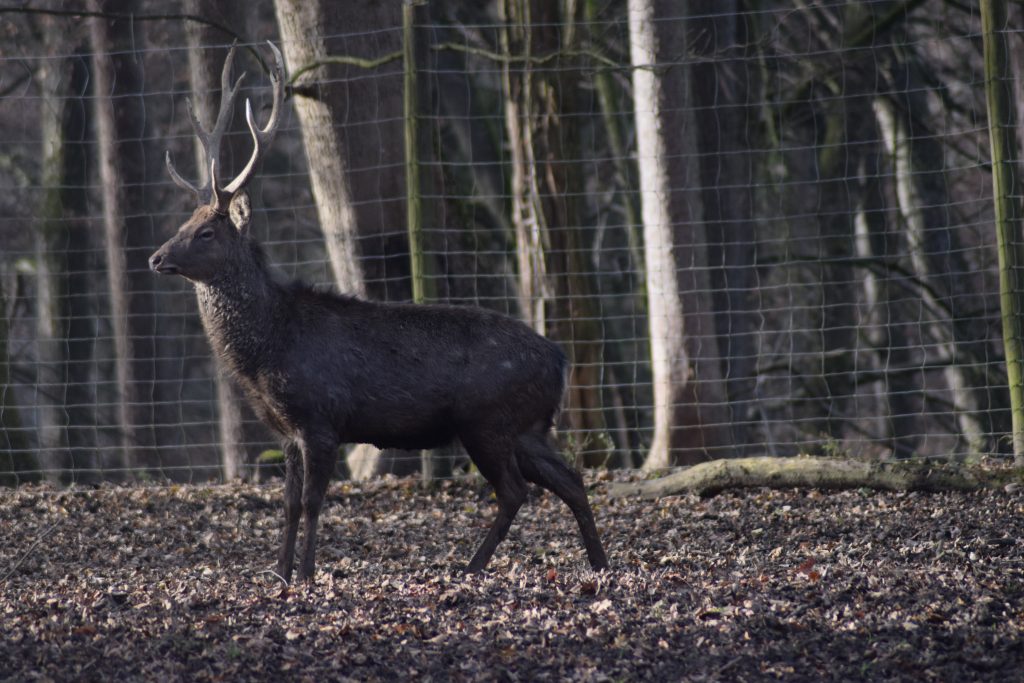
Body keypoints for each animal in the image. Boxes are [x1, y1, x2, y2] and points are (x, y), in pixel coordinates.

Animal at [149, 41, 606, 581]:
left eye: (205, 232)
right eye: (185, 221)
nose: (156, 258)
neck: (267, 349)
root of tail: (560, 359)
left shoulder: (321, 419)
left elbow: (313, 503)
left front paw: (306, 573)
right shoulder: (287, 431)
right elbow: (287, 505)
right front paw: (279, 574)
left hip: (489, 420)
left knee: (517, 490)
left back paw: (472, 566)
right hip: (529, 426)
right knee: (570, 479)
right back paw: (598, 562)